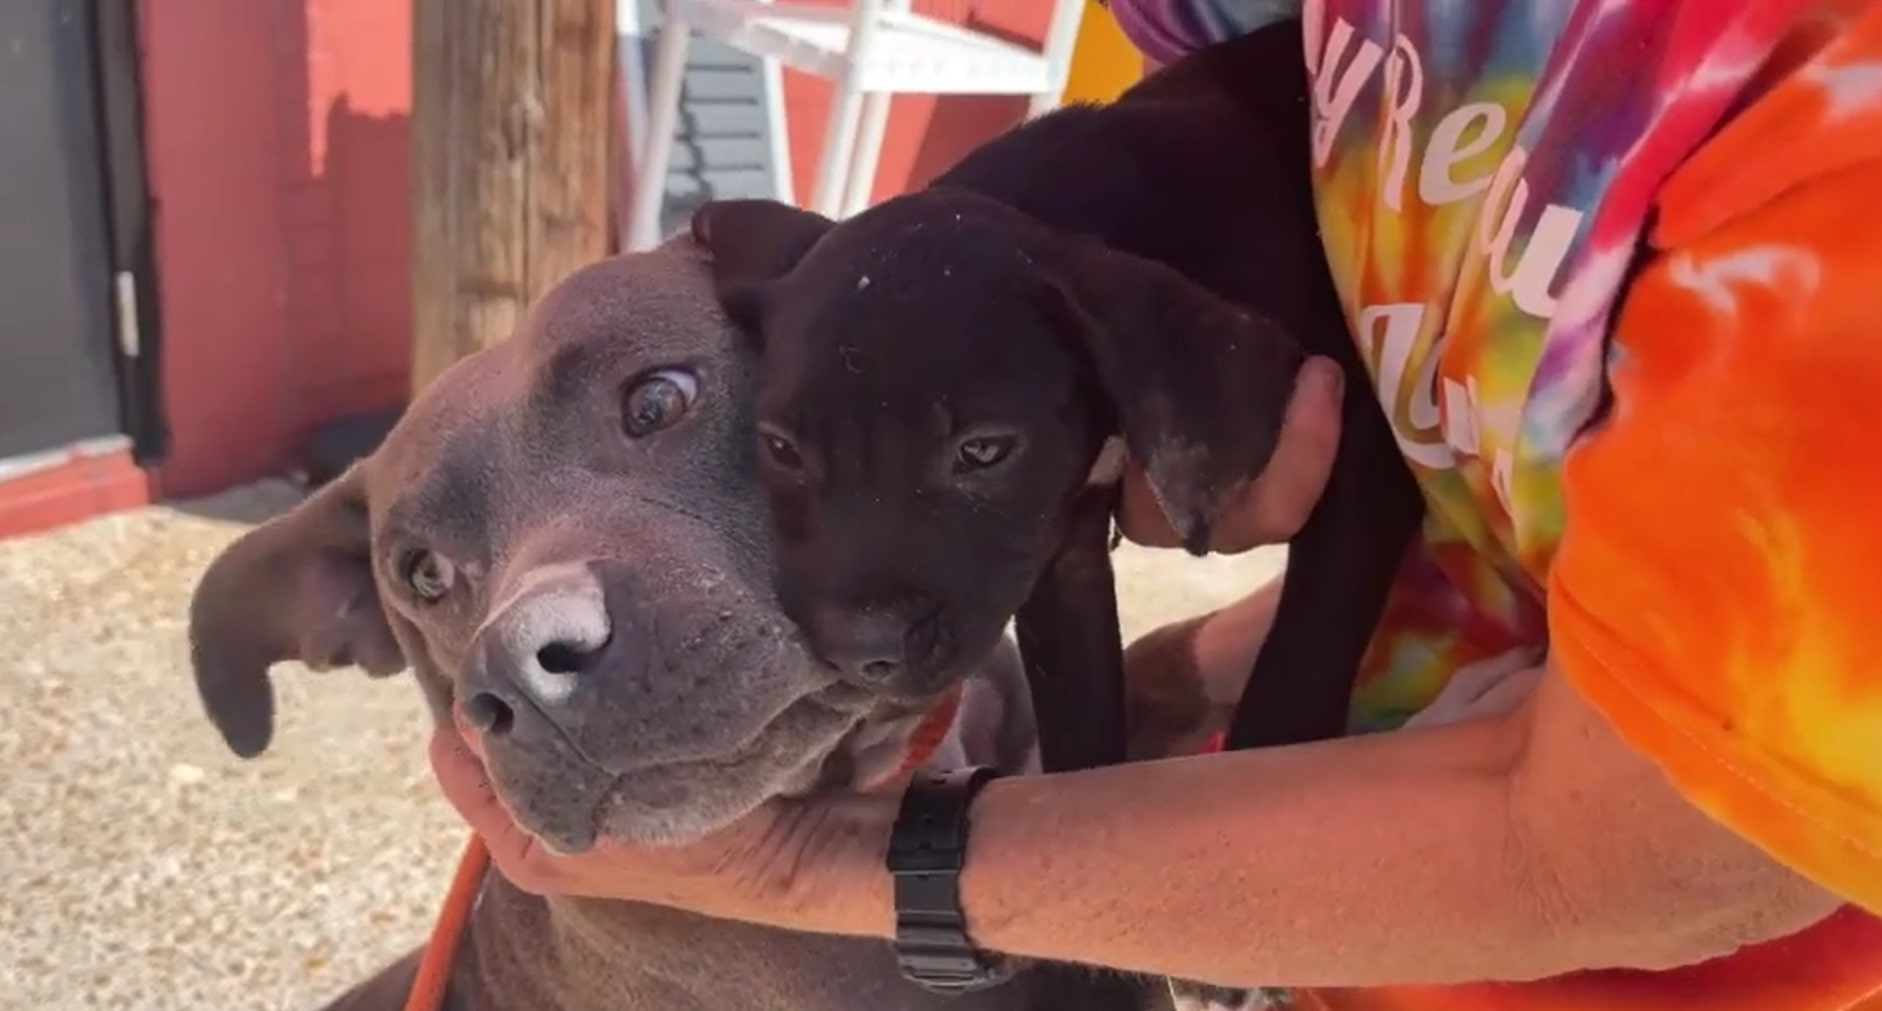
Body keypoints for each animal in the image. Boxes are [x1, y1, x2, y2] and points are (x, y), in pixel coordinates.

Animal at [696, 23, 1422, 1001]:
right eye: (779, 448)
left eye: (983, 451)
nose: (857, 652)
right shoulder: (1058, 564)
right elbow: (1082, 763)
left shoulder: (1363, 461)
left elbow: (1302, 649)